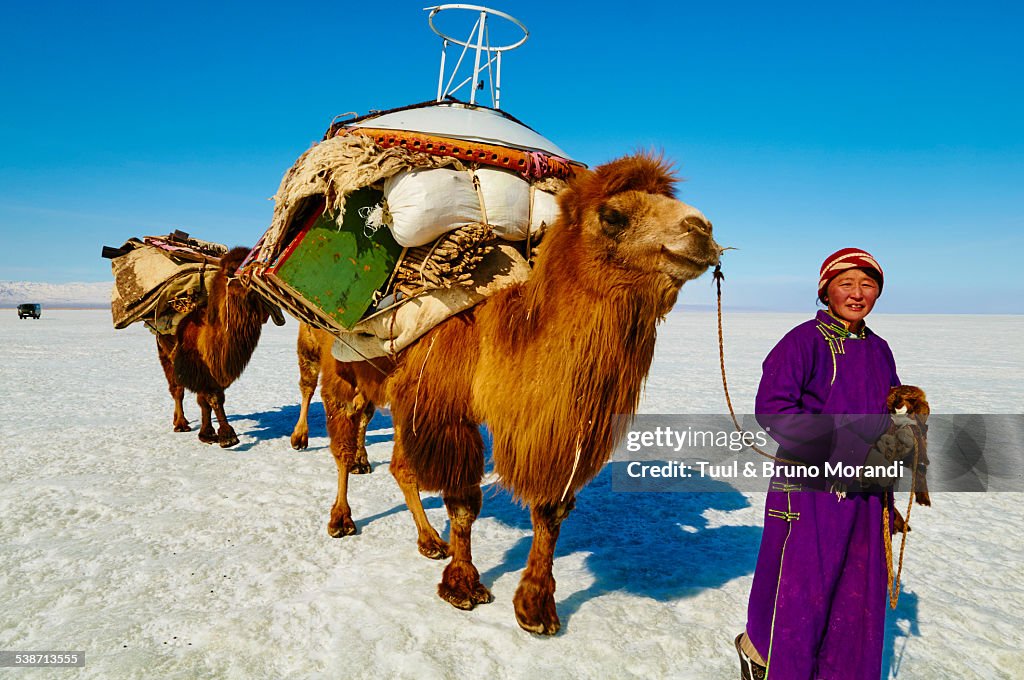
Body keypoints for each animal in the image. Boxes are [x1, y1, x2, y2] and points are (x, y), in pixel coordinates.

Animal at [156, 247, 276, 447]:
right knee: (176, 389)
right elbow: (212, 397)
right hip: (164, 350)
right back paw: (180, 424)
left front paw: (208, 433)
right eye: (234, 269)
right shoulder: (197, 365)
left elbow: (207, 399)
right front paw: (228, 436)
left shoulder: (216, 368)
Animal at [316, 153, 720, 633]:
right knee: (343, 444)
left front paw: (536, 606)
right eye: (613, 216)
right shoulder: (447, 411)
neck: (497, 331)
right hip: (340, 369)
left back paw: (429, 540)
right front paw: (462, 585)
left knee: (397, 463)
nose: (702, 230)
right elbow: (464, 503)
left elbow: (550, 511)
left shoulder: (549, 428)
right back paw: (341, 519)